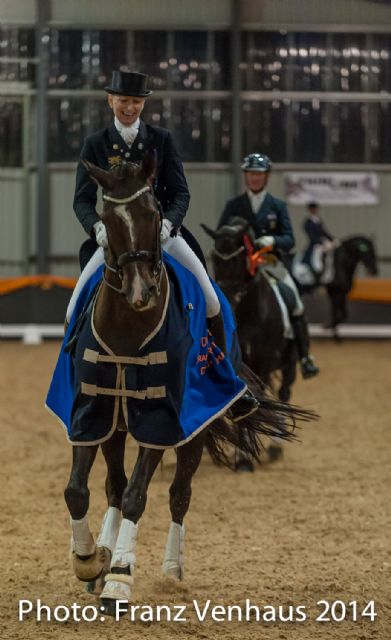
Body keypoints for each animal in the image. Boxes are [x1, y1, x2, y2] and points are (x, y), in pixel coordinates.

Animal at [58, 154, 314, 616]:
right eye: (107, 219)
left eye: (154, 214)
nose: (140, 291)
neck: (127, 328)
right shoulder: (93, 414)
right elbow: (78, 491)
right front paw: (90, 561)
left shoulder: (161, 421)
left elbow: (139, 495)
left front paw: (118, 579)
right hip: (117, 427)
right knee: (113, 486)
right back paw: (106, 550)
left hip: (197, 426)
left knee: (179, 493)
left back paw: (171, 571)